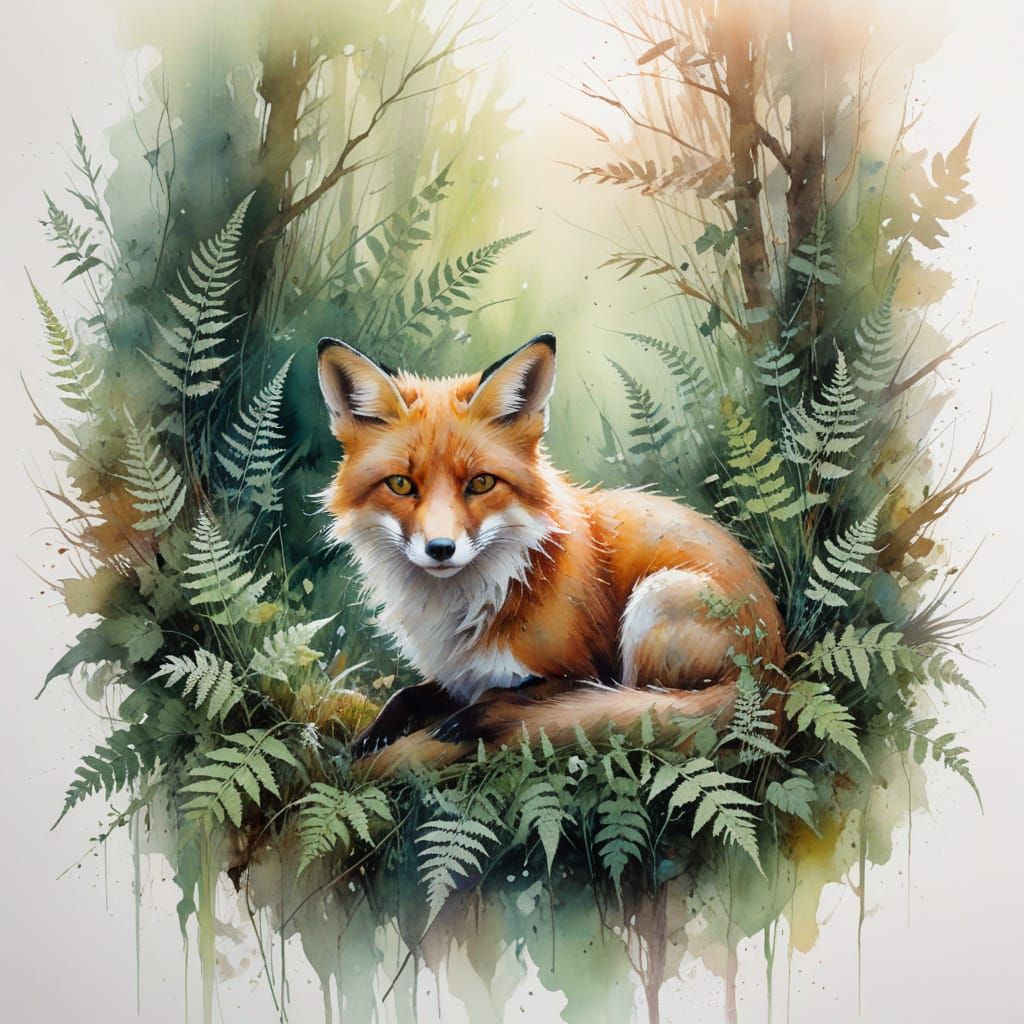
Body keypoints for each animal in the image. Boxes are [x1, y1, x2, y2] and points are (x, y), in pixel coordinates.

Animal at [317, 333, 785, 773]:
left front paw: (478, 717)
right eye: (401, 484)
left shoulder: (584, 671)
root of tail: (772, 671)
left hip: (656, 599)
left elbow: (521, 695)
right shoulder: (459, 674)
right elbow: (407, 694)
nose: (441, 549)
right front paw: (369, 737)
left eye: (481, 483)